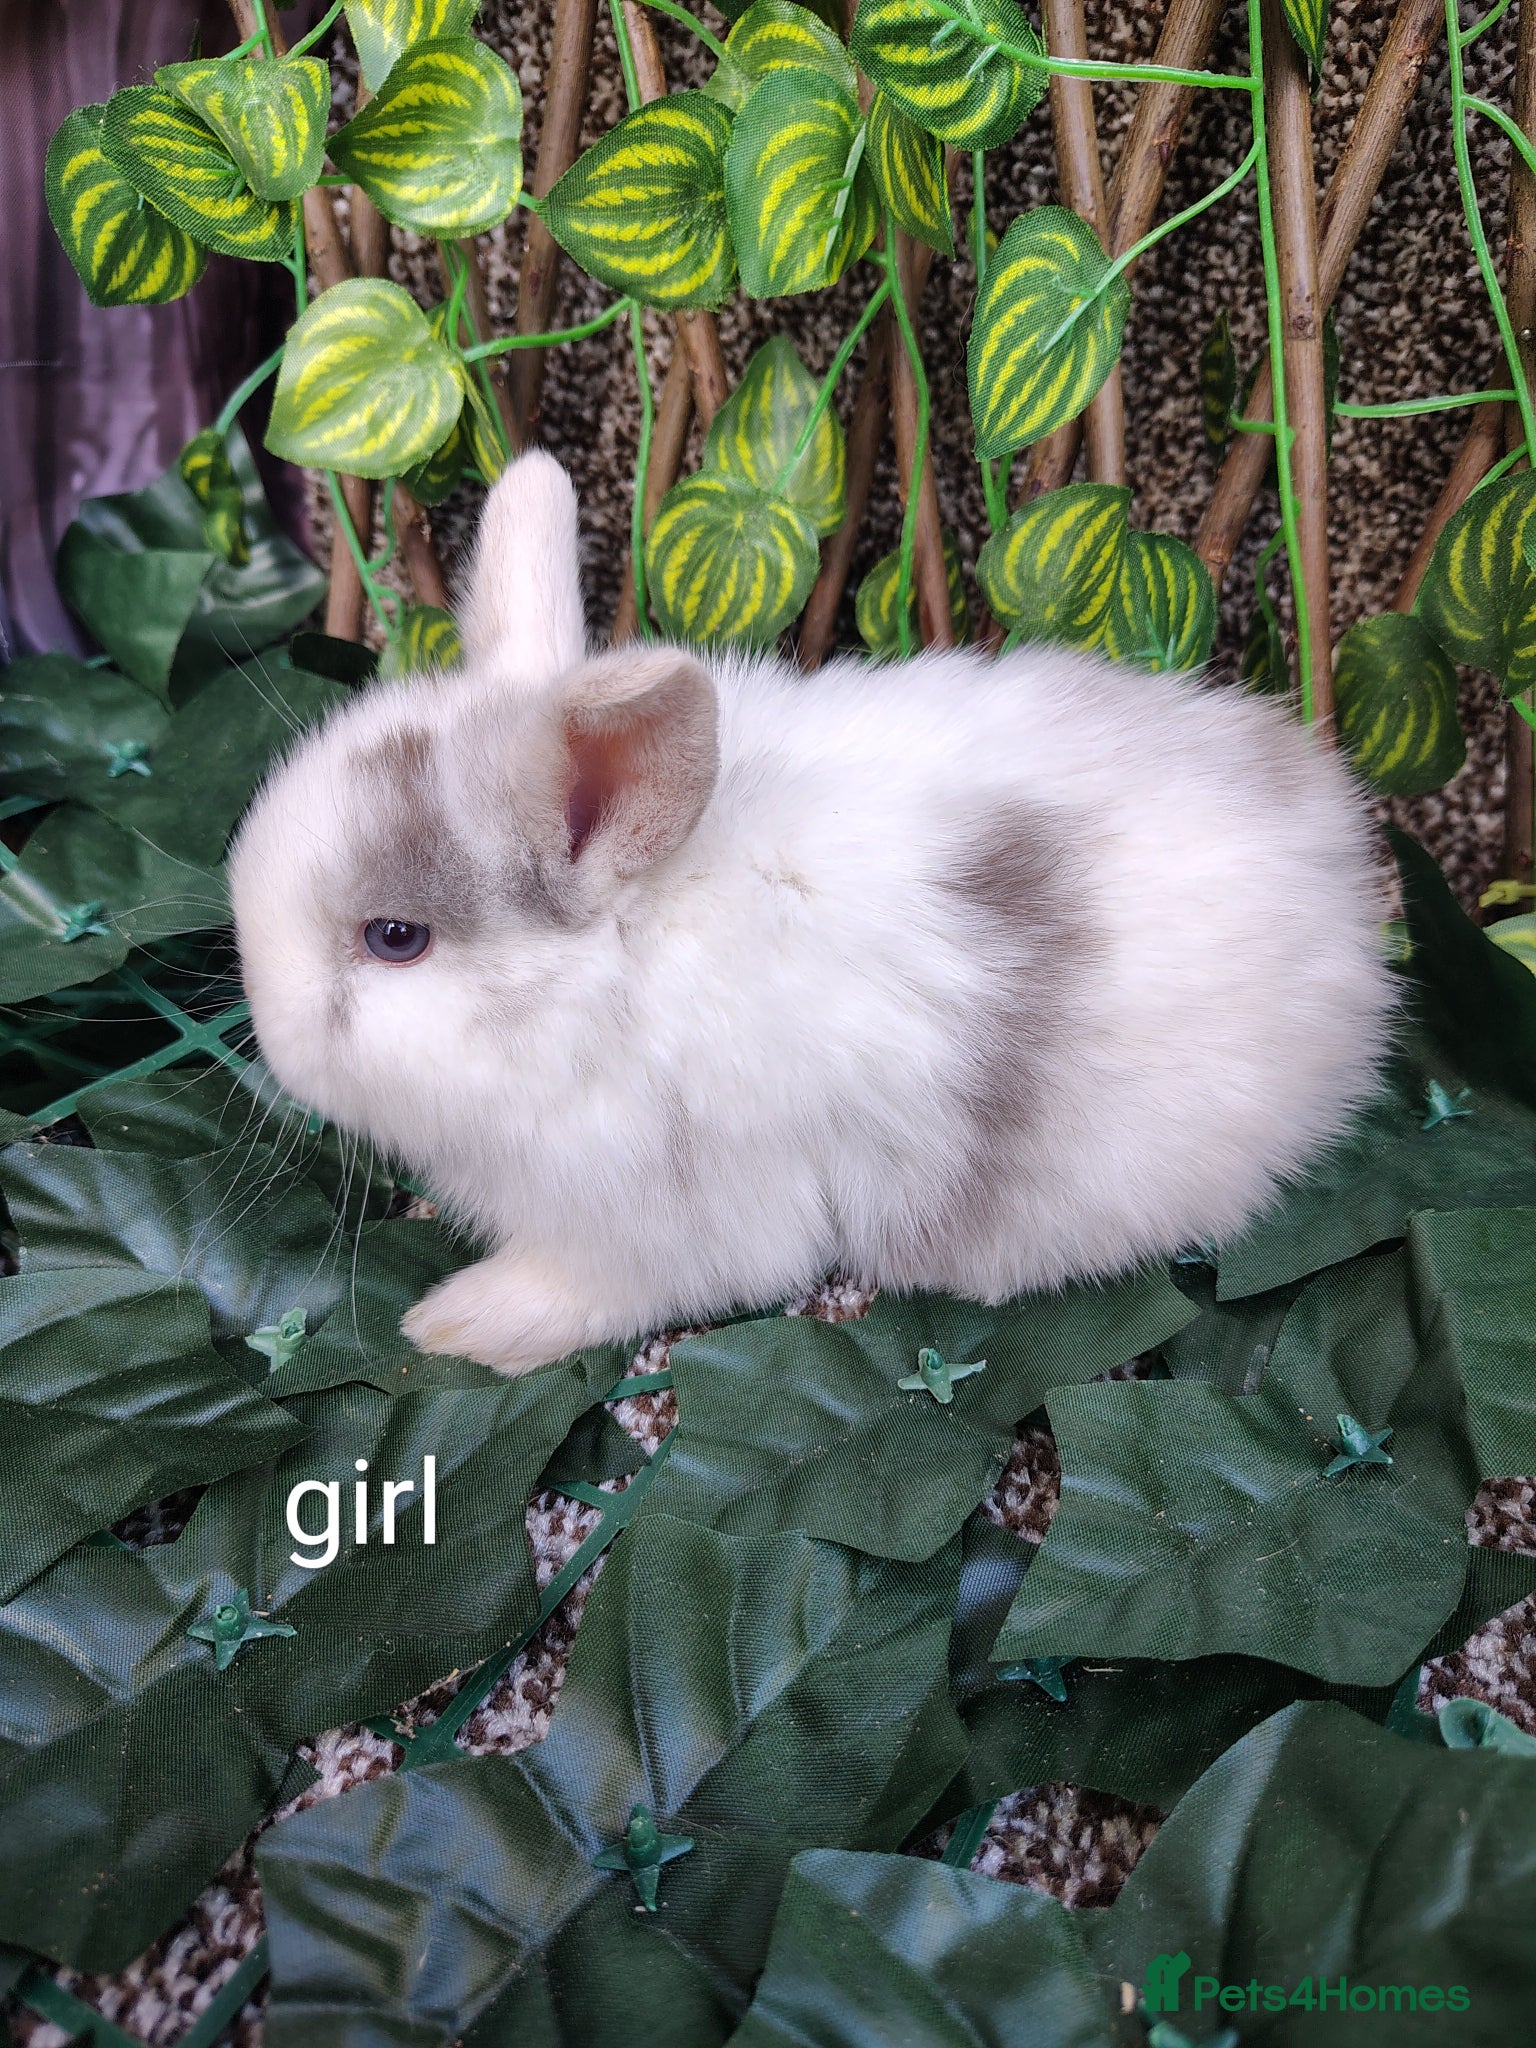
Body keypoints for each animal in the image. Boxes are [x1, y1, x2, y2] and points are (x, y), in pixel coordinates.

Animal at [230, 450, 1396, 1375]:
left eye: (395, 938)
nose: (272, 1035)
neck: (616, 974)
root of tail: (1352, 908)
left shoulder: (674, 1220)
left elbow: (593, 1288)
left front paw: (459, 1324)